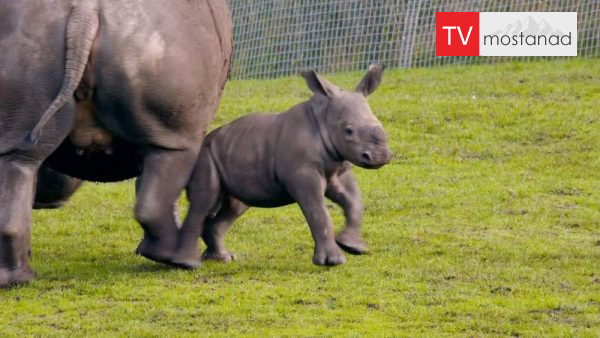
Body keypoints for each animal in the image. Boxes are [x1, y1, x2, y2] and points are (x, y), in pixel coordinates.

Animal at [0, 0, 232, 288]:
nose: (47, 199)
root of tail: (85, 13)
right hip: (158, 55)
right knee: (172, 153)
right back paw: (181, 261)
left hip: (33, 50)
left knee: (20, 159)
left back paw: (16, 279)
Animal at [171, 64, 392, 268]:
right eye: (348, 131)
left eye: (379, 123)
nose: (381, 156)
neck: (323, 119)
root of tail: (206, 140)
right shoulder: (303, 175)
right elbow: (318, 212)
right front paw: (334, 261)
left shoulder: (337, 169)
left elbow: (354, 202)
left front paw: (353, 247)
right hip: (204, 157)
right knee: (204, 201)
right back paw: (187, 263)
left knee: (235, 207)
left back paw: (222, 259)